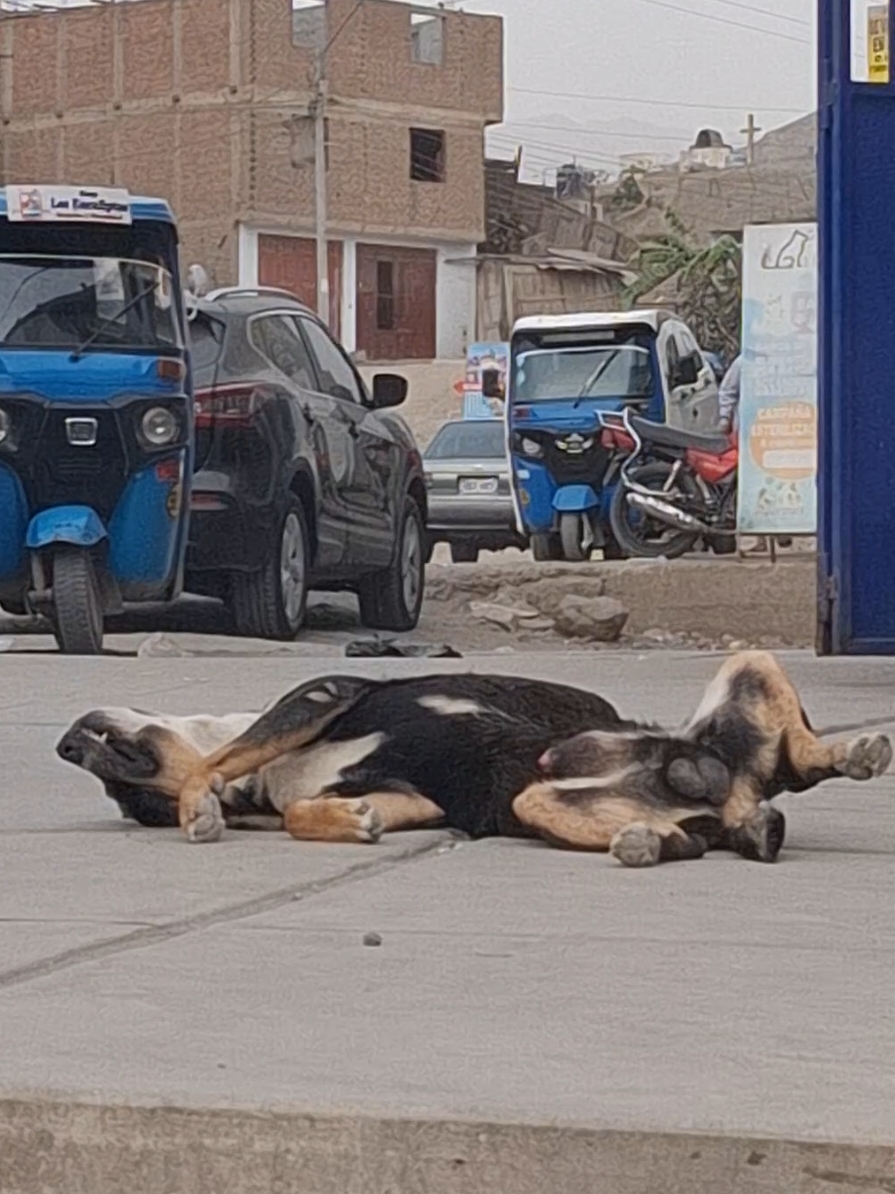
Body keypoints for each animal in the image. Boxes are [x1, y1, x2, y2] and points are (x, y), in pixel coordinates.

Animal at [57, 654, 895, 869]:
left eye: (122, 788)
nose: (65, 745)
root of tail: (730, 795)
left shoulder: (324, 692)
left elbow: (224, 759)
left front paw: (201, 804)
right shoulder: (415, 798)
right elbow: (300, 812)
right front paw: (349, 820)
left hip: (745, 666)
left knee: (802, 760)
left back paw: (858, 749)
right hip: (533, 798)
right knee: (702, 834)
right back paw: (654, 839)